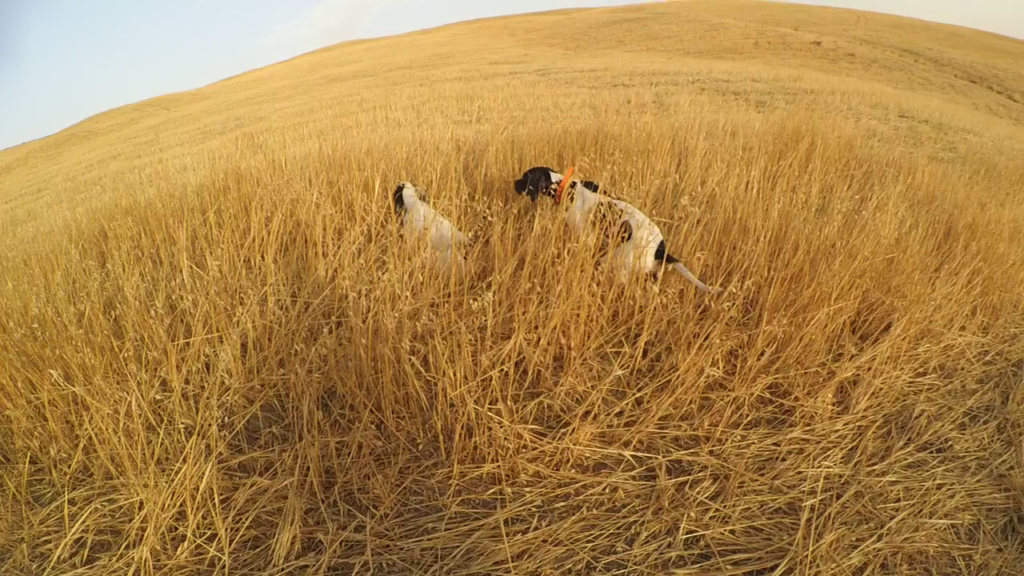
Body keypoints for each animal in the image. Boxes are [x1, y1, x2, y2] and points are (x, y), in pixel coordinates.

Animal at [512, 165, 720, 291]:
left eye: (525, 177)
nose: (513, 182)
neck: (566, 188)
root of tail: (661, 248)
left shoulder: (585, 238)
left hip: (615, 263)